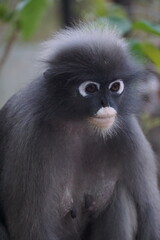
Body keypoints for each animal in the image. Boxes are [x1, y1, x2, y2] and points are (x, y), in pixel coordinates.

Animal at [0, 23, 160, 240]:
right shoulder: (29, 137)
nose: (106, 104)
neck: (79, 124)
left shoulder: (128, 131)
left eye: (115, 87)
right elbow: (32, 227)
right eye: (90, 88)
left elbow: (149, 214)